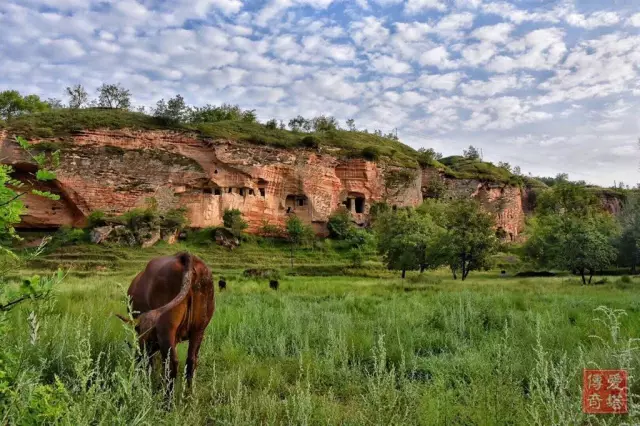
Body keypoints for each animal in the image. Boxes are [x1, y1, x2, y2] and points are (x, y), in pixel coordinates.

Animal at [116, 251, 214, 394]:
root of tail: (184, 256)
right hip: (199, 329)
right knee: (191, 361)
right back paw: (188, 395)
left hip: (166, 328)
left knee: (171, 364)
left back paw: (165, 398)